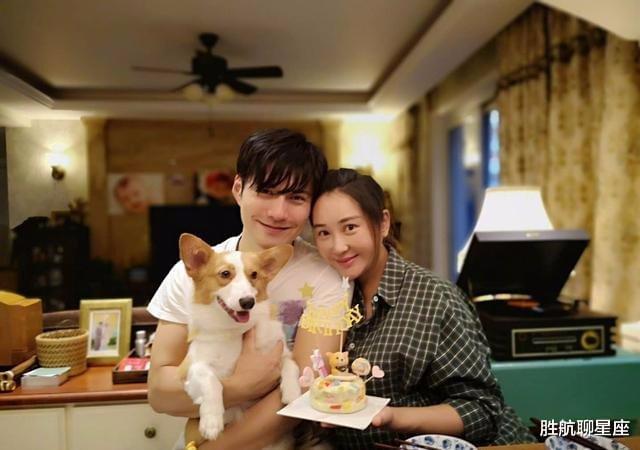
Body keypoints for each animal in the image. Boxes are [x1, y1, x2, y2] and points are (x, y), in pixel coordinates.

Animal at [178, 233, 300, 449]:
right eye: (225, 274)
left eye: (254, 275)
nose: (248, 302)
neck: (235, 331)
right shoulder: (192, 369)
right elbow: (211, 380)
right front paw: (211, 421)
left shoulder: (281, 352)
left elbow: (290, 366)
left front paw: (292, 393)